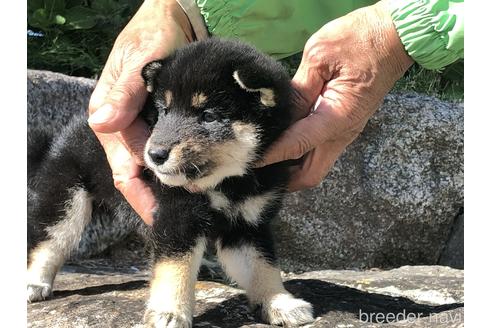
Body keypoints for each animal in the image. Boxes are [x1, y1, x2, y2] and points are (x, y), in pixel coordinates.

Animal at [26, 37, 314, 326]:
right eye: (163, 111)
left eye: (208, 116)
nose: (155, 154)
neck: (227, 183)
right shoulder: (179, 215)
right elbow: (176, 267)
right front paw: (169, 311)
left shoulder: (246, 223)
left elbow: (261, 266)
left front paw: (279, 302)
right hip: (67, 196)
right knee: (49, 240)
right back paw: (34, 283)